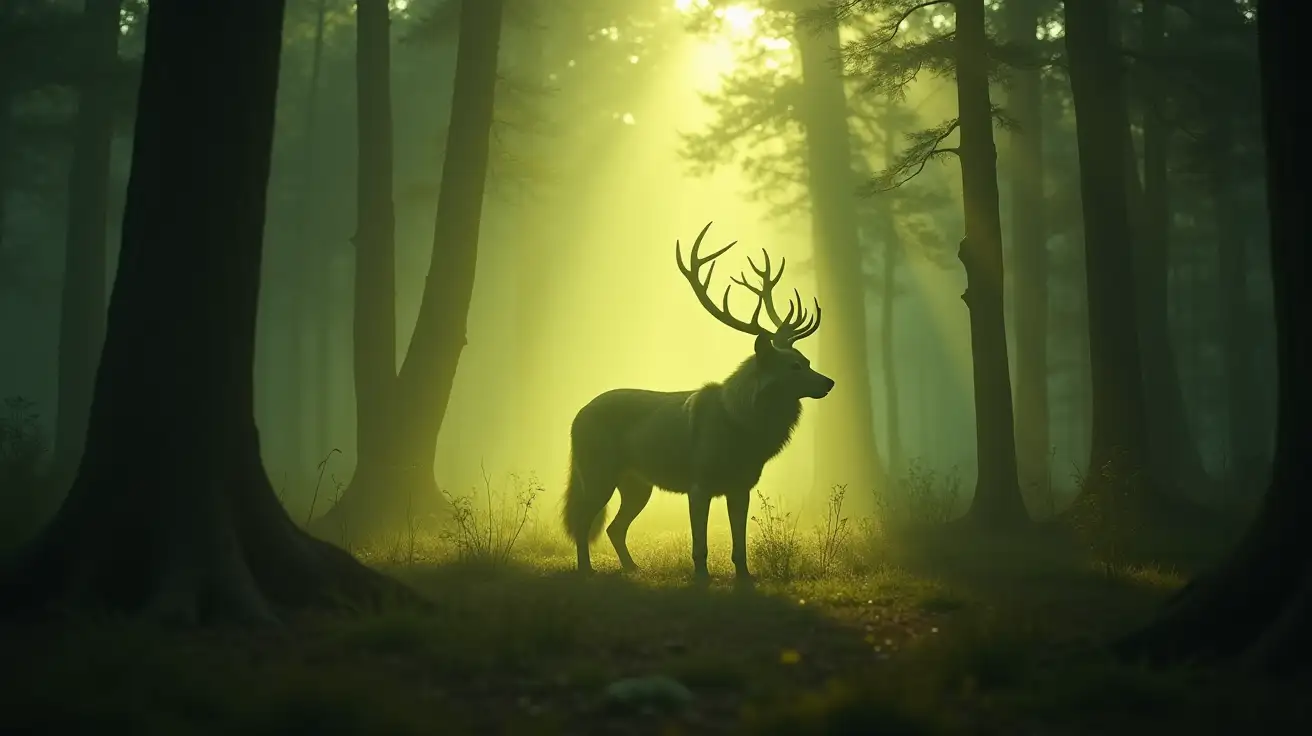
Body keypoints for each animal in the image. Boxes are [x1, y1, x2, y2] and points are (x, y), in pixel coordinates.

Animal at [561, 221, 834, 583]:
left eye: (806, 360)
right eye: (793, 367)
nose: (829, 382)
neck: (744, 431)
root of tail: (576, 416)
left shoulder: (741, 485)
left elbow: (739, 541)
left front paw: (745, 577)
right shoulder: (699, 483)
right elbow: (700, 543)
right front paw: (702, 578)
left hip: (637, 484)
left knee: (614, 527)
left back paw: (633, 568)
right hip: (596, 471)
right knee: (582, 521)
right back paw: (585, 571)